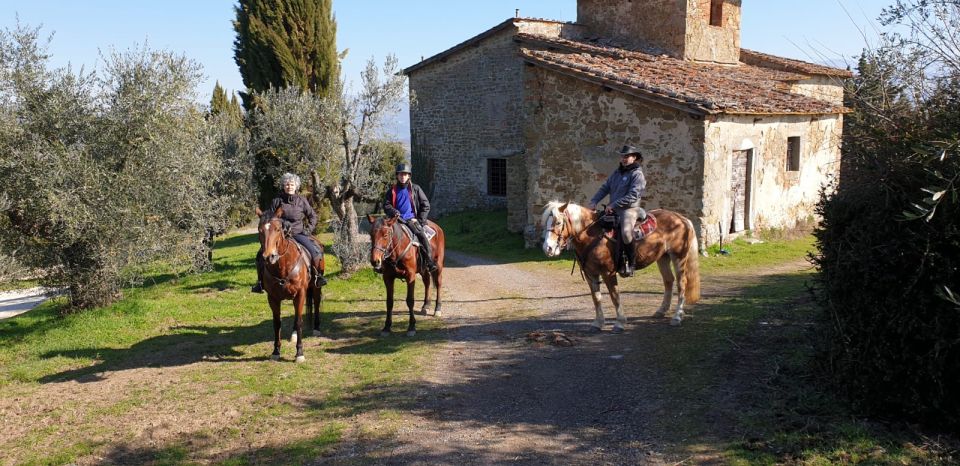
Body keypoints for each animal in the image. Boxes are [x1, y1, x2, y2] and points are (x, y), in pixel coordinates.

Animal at [256, 206, 324, 362]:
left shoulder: (300, 294)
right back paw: (293, 334)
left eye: (277, 229)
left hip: (315, 287)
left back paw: (317, 328)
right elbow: (277, 323)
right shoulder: (273, 298)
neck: (283, 266)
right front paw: (276, 351)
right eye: (260, 230)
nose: (269, 257)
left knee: (317, 303)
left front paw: (299, 353)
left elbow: (299, 321)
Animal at [544, 202, 700, 330]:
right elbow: (596, 298)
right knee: (668, 281)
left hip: (678, 257)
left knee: (682, 283)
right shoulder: (590, 274)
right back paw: (661, 311)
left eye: (558, 222)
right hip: (663, 258)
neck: (592, 235)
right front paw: (598, 323)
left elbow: (614, 296)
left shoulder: (608, 273)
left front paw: (619, 322)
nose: (548, 248)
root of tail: (682, 219)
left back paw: (677, 316)